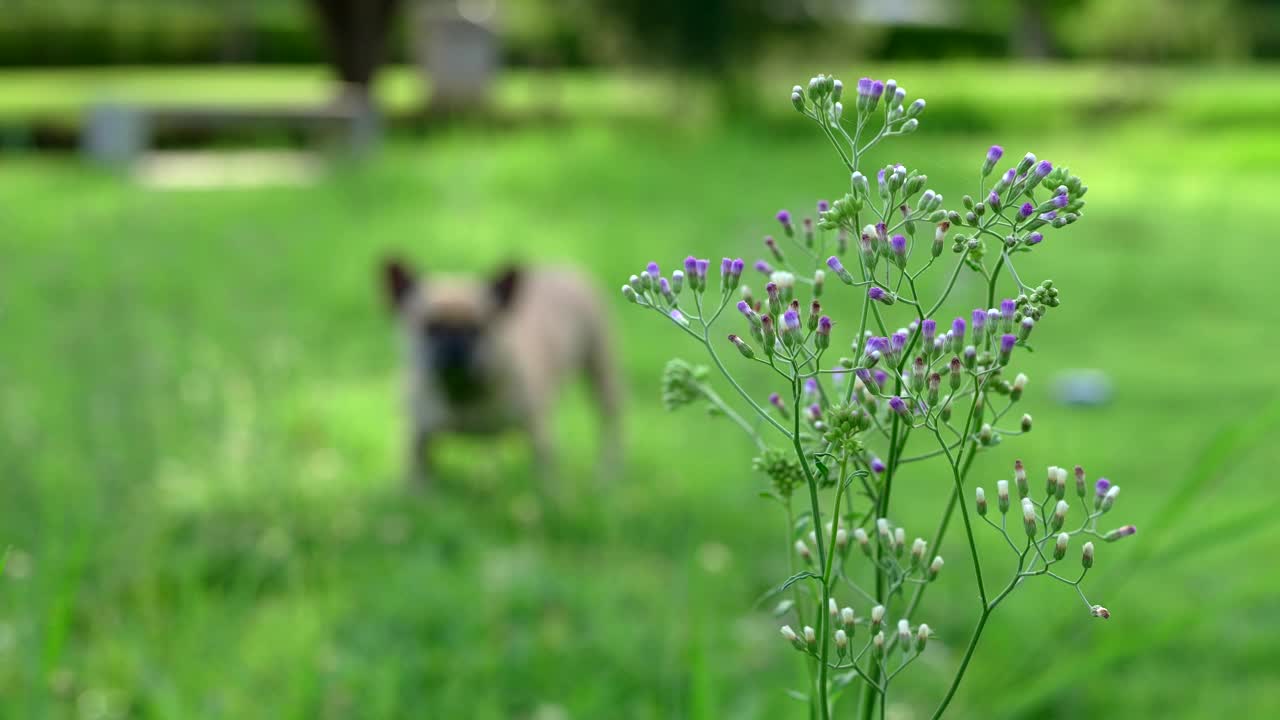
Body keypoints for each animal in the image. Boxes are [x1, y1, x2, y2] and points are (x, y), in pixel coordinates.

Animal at [378, 254, 619, 484]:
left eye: (479, 328)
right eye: (430, 327)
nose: (455, 343)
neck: (464, 393)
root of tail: (560, 267)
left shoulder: (538, 432)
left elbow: (546, 475)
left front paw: (551, 494)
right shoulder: (418, 439)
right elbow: (418, 480)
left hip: (600, 368)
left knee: (609, 423)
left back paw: (608, 473)